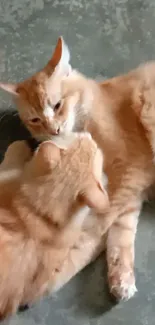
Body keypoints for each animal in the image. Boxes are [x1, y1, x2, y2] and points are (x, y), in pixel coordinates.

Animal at [0, 37, 155, 298]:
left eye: (57, 105)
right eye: (35, 120)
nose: (54, 130)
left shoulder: (131, 173)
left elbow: (95, 227)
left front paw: (57, 271)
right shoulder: (130, 190)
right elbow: (120, 232)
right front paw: (121, 276)